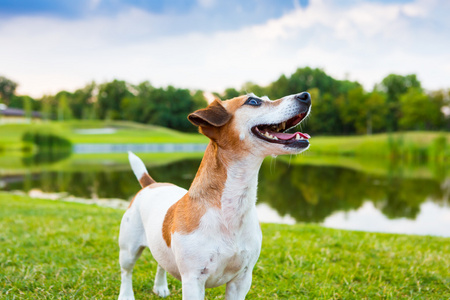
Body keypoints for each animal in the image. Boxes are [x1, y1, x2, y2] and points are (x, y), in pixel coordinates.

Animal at [118, 92, 312, 298]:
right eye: (253, 101)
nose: (306, 95)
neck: (230, 209)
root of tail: (151, 184)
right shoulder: (193, 281)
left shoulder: (242, 279)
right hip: (128, 250)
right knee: (126, 273)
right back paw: (126, 295)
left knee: (160, 263)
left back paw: (160, 286)